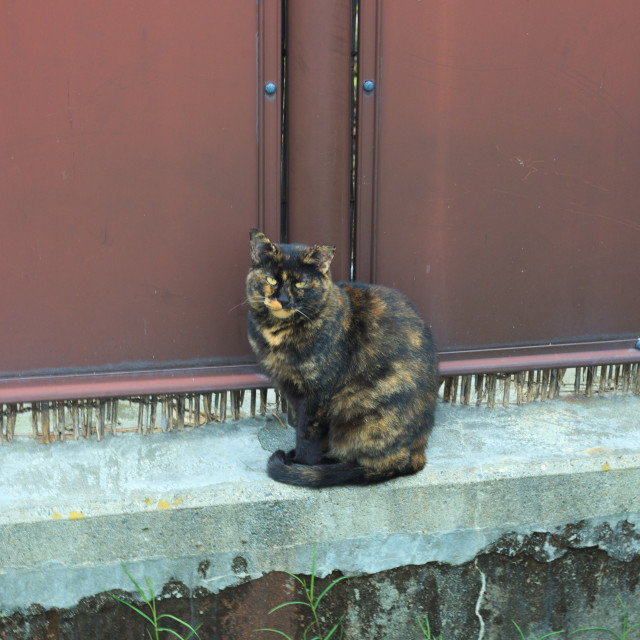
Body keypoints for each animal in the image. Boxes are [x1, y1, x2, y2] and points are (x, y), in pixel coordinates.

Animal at [248, 229, 438, 484]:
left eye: (301, 283)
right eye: (271, 280)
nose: (284, 300)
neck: (278, 332)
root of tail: (419, 451)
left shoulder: (317, 393)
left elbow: (307, 432)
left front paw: (301, 464)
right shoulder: (290, 388)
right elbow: (298, 424)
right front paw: (297, 456)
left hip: (355, 405)